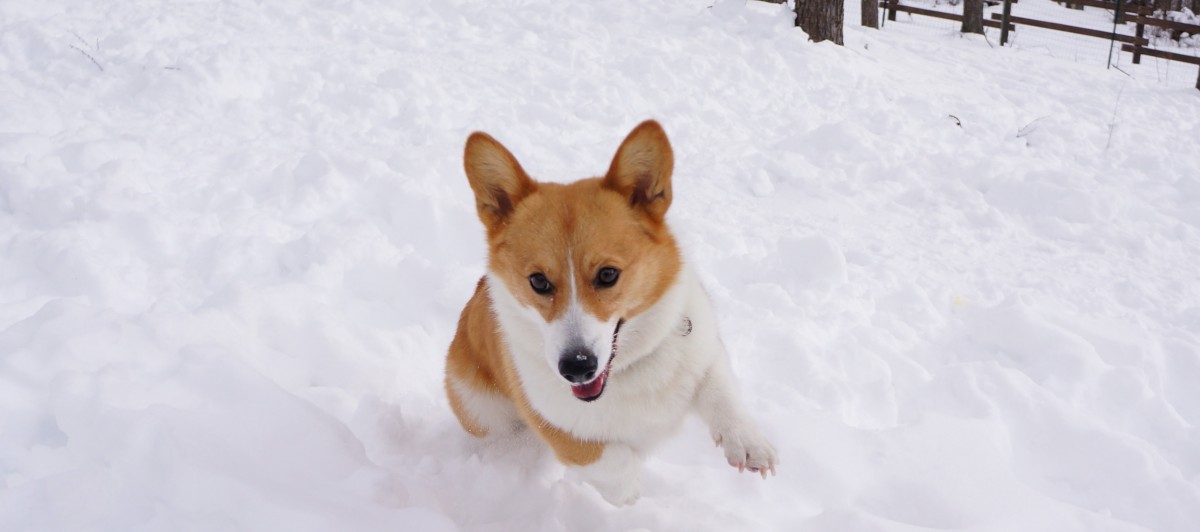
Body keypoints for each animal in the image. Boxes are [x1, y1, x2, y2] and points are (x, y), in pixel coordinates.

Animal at [444, 119, 777, 504]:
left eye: (607, 274)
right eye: (538, 281)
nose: (576, 367)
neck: (627, 370)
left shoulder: (705, 350)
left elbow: (721, 393)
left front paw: (748, 444)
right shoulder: (556, 427)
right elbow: (613, 462)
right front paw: (630, 493)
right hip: (480, 411)